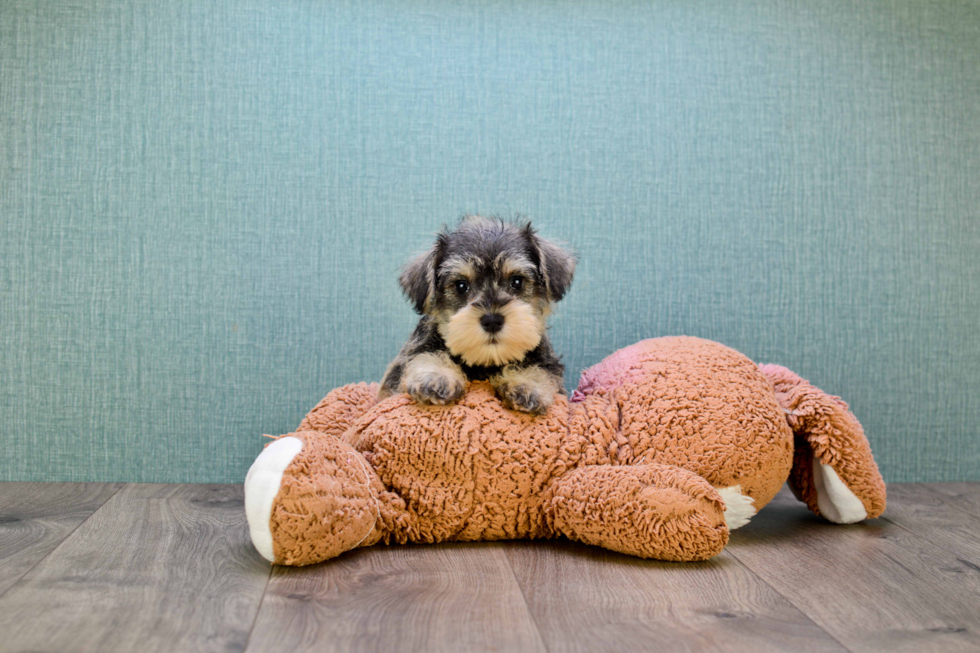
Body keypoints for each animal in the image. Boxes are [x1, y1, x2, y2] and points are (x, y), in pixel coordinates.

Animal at [378, 216, 576, 416]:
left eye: (517, 281)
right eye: (461, 285)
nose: (492, 321)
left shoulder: (548, 365)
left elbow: (540, 369)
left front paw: (527, 384)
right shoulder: (401, 368)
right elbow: (424, 354)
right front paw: (435, 376)